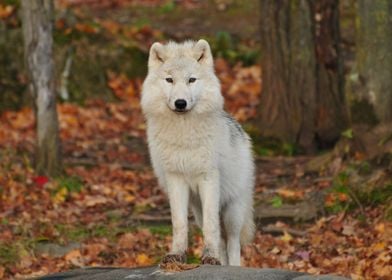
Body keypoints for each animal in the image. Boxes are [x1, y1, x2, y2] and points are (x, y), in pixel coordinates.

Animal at [141, 38, 254, 264]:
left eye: (191, 80)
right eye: (169, 80)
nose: (180, 103)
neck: (184, 134)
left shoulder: (208, 178)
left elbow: (212, 227)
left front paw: (209, 256)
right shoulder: (175, 179)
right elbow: (179, 223)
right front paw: (177, 254)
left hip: (232, 211)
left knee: (233, 243)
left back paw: (231, 265)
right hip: (198, 209)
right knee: (221, 241)